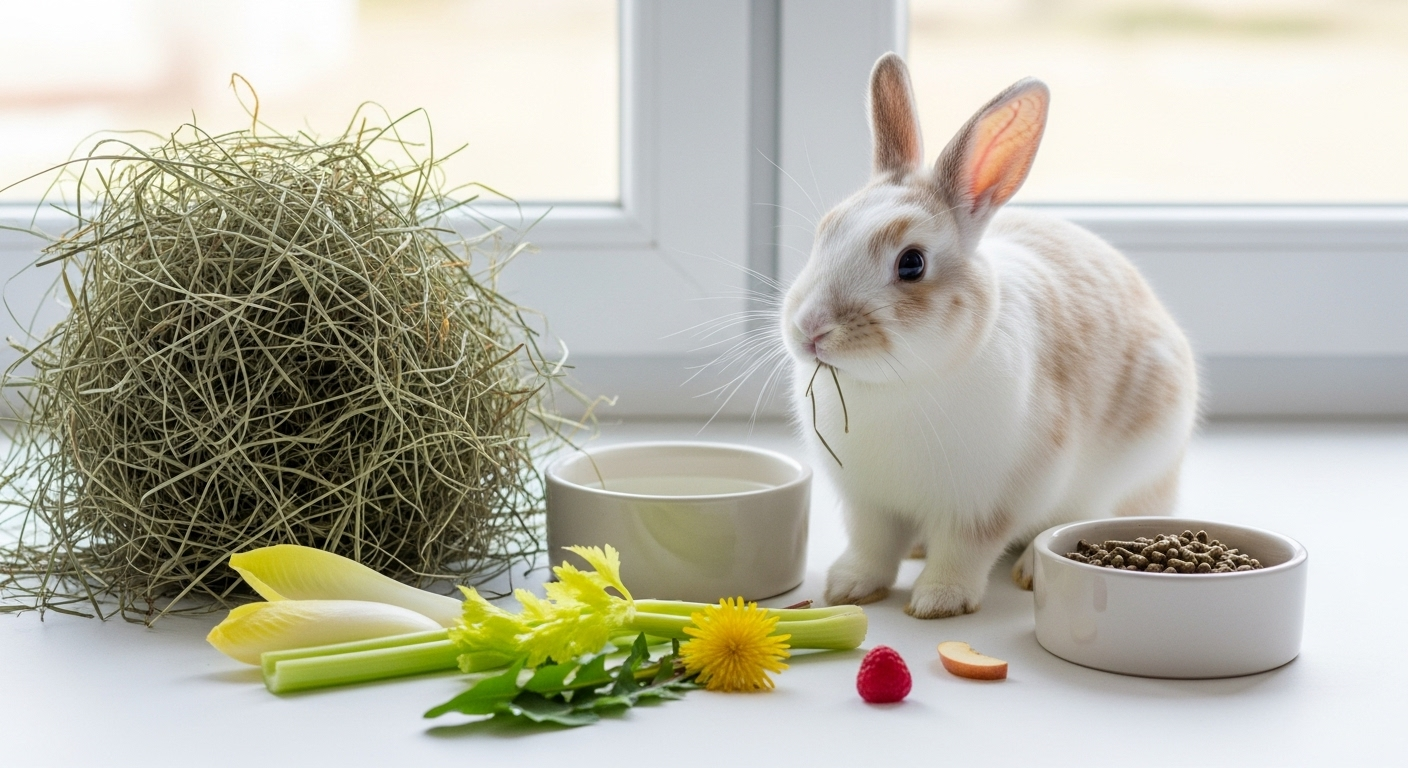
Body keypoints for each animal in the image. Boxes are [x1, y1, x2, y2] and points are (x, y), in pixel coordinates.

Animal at [779, 53, 1198, 619]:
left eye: (911, 264)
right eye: (825, 232)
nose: (810, 329)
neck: (897, 386)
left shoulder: (988, 502)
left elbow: (966, 549)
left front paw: (938, 602)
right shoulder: (868, 503)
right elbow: (872, 546)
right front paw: (850, 588)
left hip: (1125, 473)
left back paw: (1029, 571)